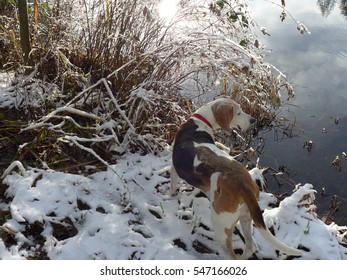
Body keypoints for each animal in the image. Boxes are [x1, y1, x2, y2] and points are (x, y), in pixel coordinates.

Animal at [171, 97, 302, 260]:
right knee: (250, 247)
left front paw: (169, 196)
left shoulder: (173, 168)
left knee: (231, 253)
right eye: (238, 112)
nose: (253, 120)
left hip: (220, 224)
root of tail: (243, 185)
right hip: (246, 217)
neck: (199, 123)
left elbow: (172, 186)